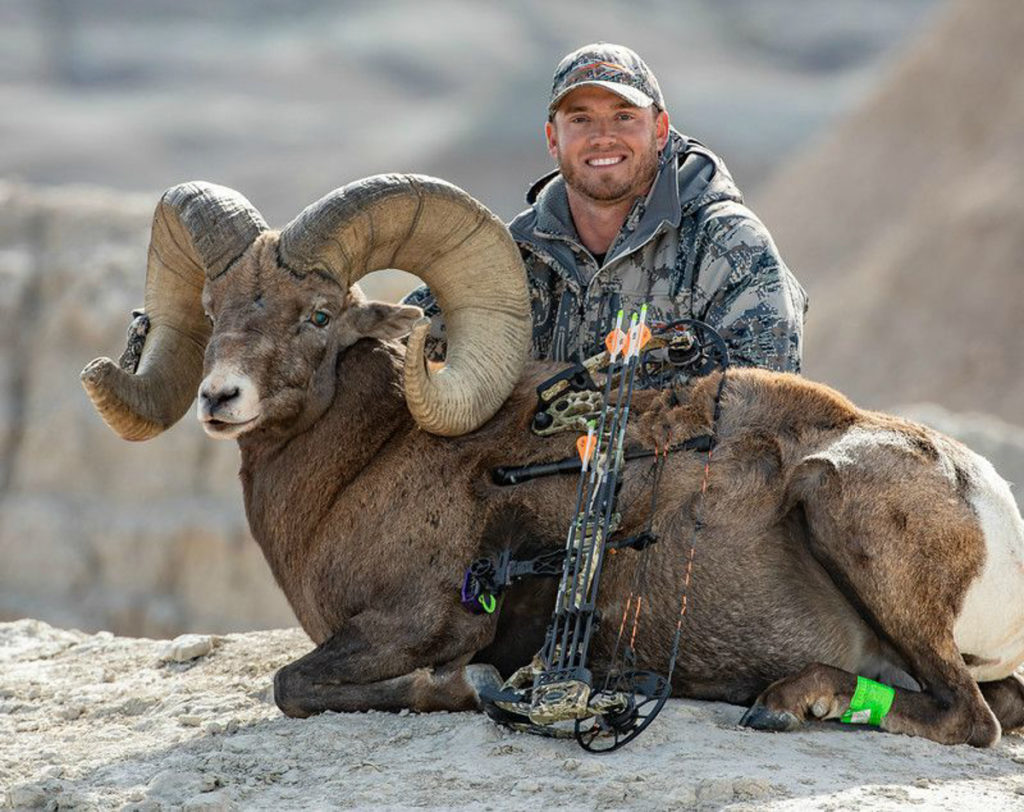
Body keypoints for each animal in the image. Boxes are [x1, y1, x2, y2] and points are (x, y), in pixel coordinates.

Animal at [81, 174, 1024, 745]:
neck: (366, 462)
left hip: (839, 504)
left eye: (317, 315)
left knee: (972, 717)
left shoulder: (418, 622)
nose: (220, 399)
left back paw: (793, 701)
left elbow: (294, 683)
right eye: (213, 307)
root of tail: (995, 512)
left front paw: (466, 688)